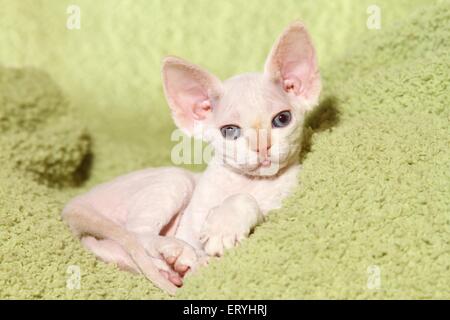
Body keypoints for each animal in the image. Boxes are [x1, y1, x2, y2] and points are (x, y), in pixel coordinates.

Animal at [62, 21, 320, 296]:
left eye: (282, 119)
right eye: (230, 131)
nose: (262, 146)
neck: (250, 181)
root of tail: (77, 201)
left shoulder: (281, 204)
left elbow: (251, 203)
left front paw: (223, 228)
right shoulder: (191, 224)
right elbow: (233, 205)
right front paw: (217, 233)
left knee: (102, 244)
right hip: (176, 179)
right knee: (136, 234)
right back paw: (177, 254)